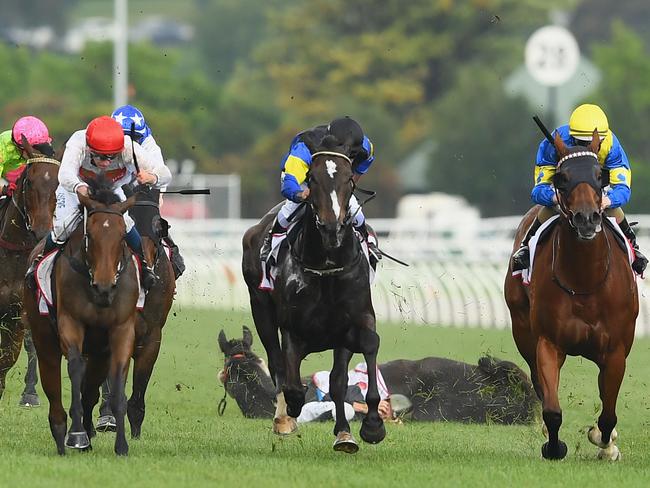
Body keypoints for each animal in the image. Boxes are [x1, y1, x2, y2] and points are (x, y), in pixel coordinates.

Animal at [22, 178, 138, 454]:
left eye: (122, 236)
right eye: (90, 235)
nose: (104, 286)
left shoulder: (122, 329)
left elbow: (117, 380)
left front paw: (121, 445)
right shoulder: (71, 323)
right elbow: (75, 369)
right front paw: (76, 435)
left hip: (99, 353)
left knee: (92, 388)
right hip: (45, 340)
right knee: (53, 384)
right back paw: (61, 431)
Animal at [240, 146, 382, 454]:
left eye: (348, 180)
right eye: (312, 179)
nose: (332, 227)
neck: (326, 269)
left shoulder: (353, 322)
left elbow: (346, 373)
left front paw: (363, 428)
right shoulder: (292, 329)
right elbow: (291, 380)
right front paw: (292, 410)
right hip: (260, 309)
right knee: (277, 363)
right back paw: (284, 418)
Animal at [504, 130, 636, 462]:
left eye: (600, 176)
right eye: (562, 178)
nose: (587, 218)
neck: (584, 281)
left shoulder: (615, 351)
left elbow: (608, 415)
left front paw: (606, 443)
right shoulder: (548, 343)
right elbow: (552, 409)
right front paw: (554, 446)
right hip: (522, 330)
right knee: (537, 381)